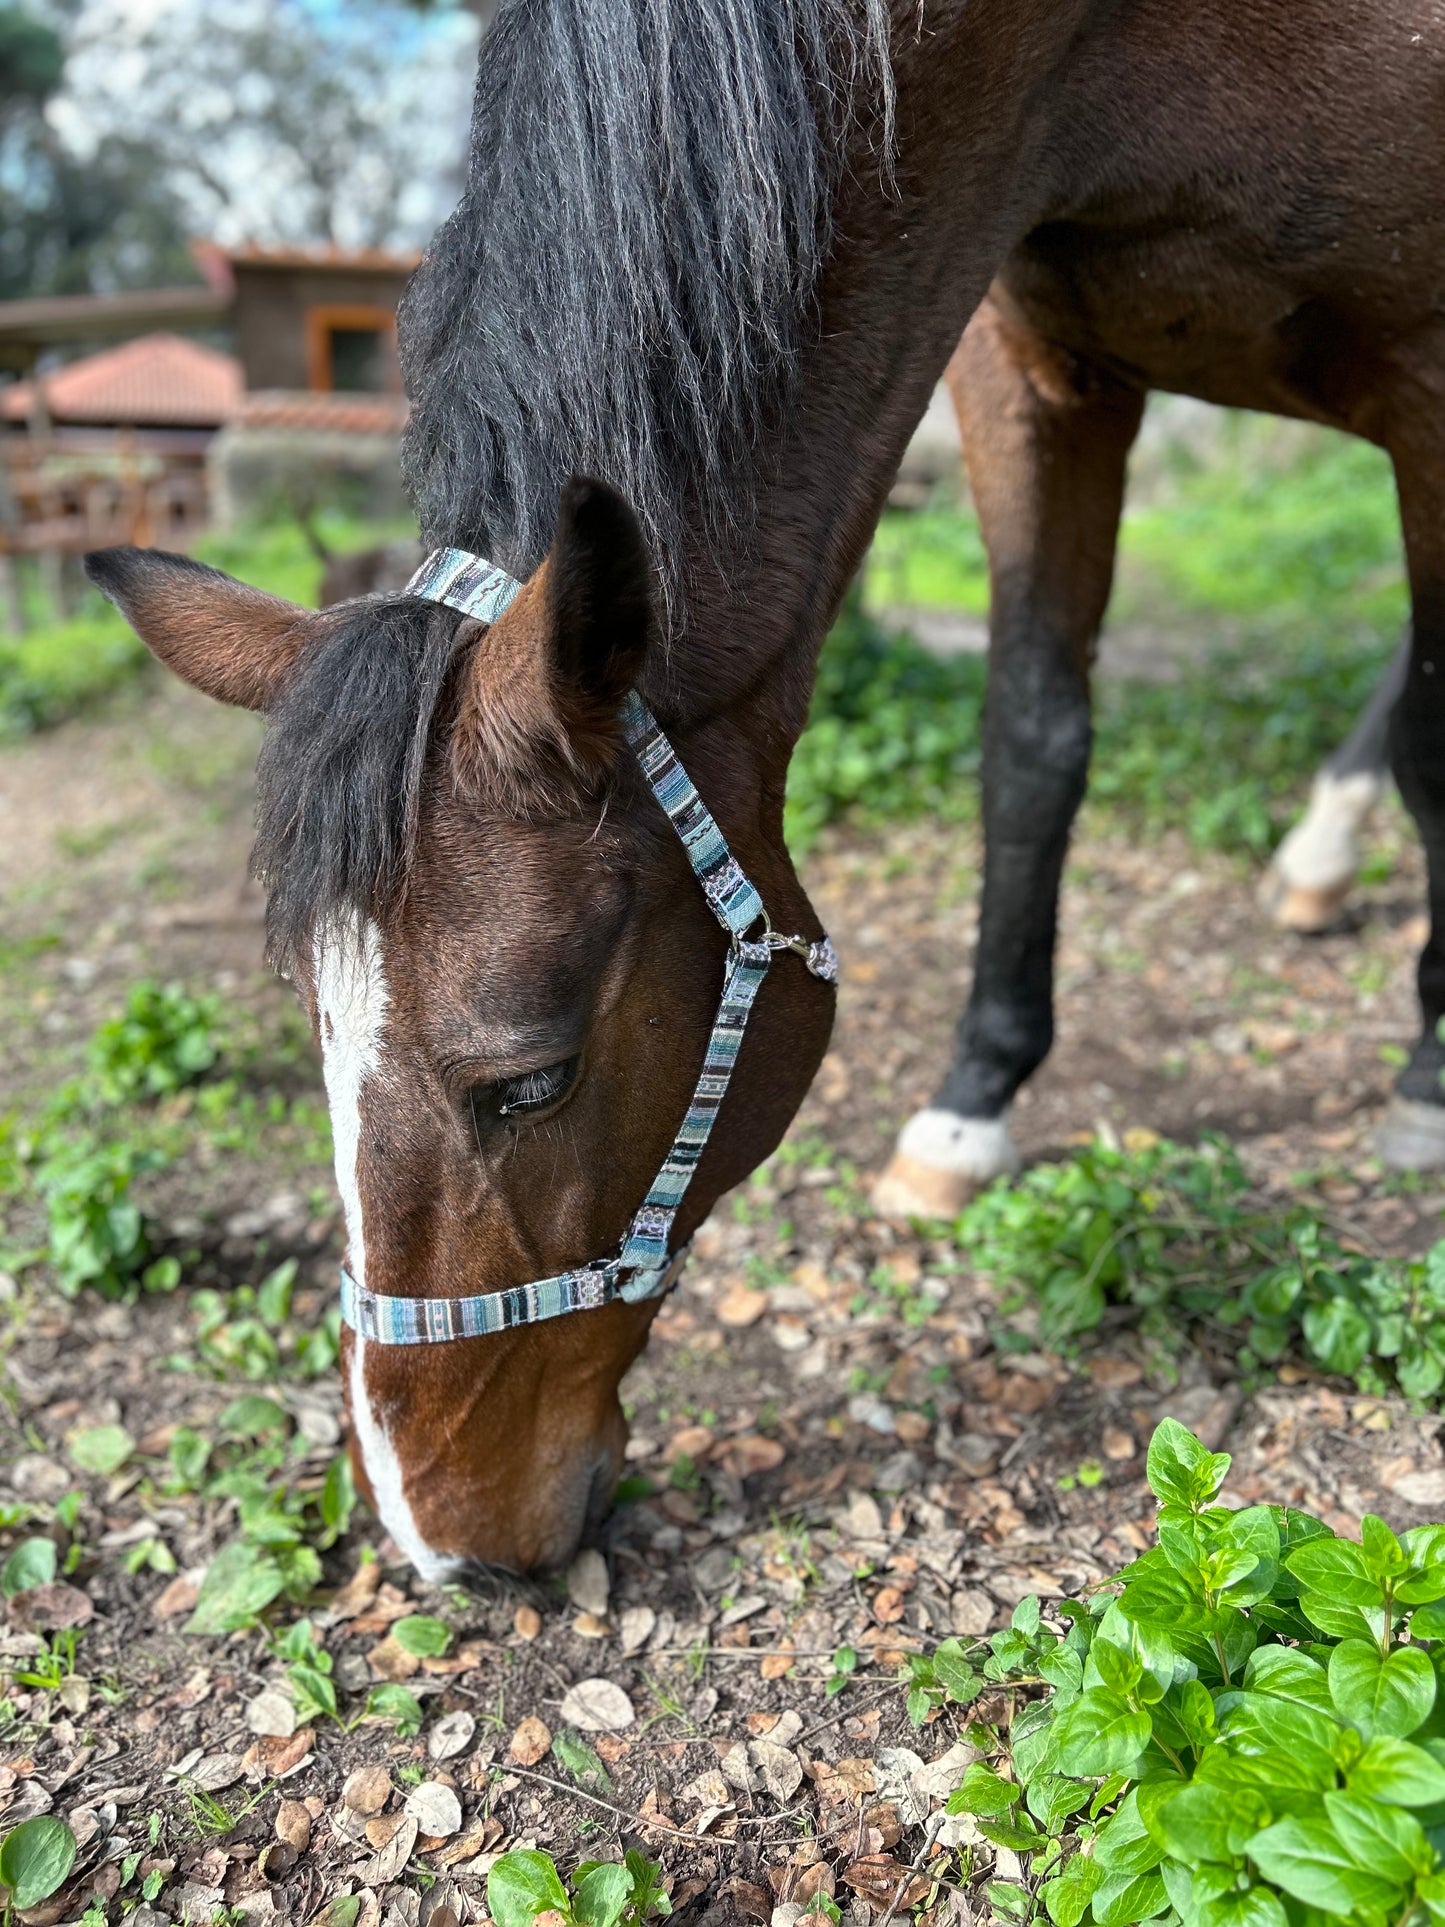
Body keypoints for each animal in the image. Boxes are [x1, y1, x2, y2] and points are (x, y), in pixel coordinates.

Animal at [87, 0, 1445, 1572]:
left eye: (530, 1078)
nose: (436, 1539)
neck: (1110, 49)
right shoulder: (1028, 358)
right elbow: (1032, 735)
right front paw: (968, 1106)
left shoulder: (1428, 371)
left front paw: (1427, 1069)